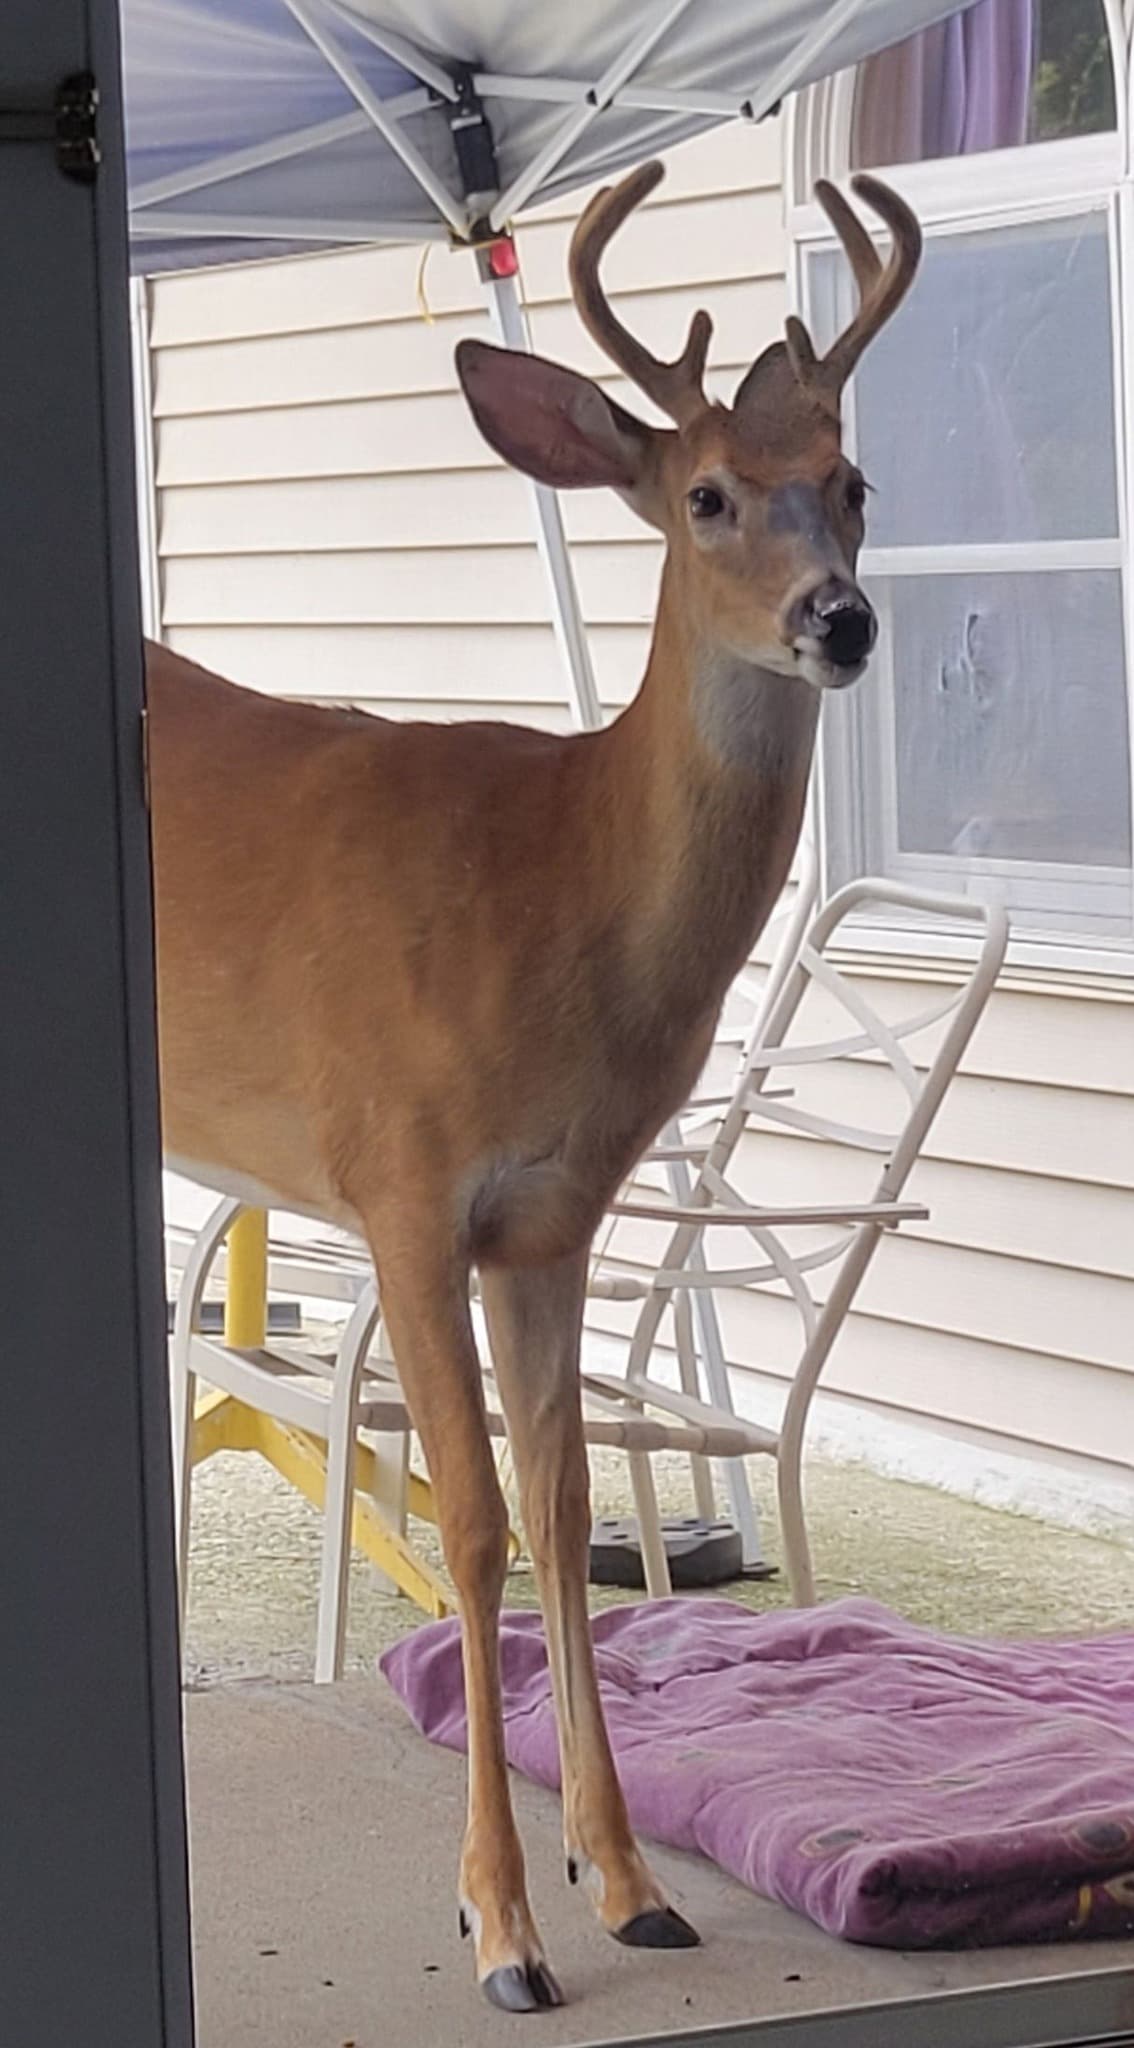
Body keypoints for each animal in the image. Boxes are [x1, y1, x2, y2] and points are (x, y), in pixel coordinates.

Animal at [147, 161, 921, 2013]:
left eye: (851, 483)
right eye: (706, 494)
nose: (839, 619)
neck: (557, 891)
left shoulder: (556, 1215)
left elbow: (570, 1512)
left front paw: (628, 1885)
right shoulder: (399, 1175)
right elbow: (476, 1521)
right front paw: (500, 1926)